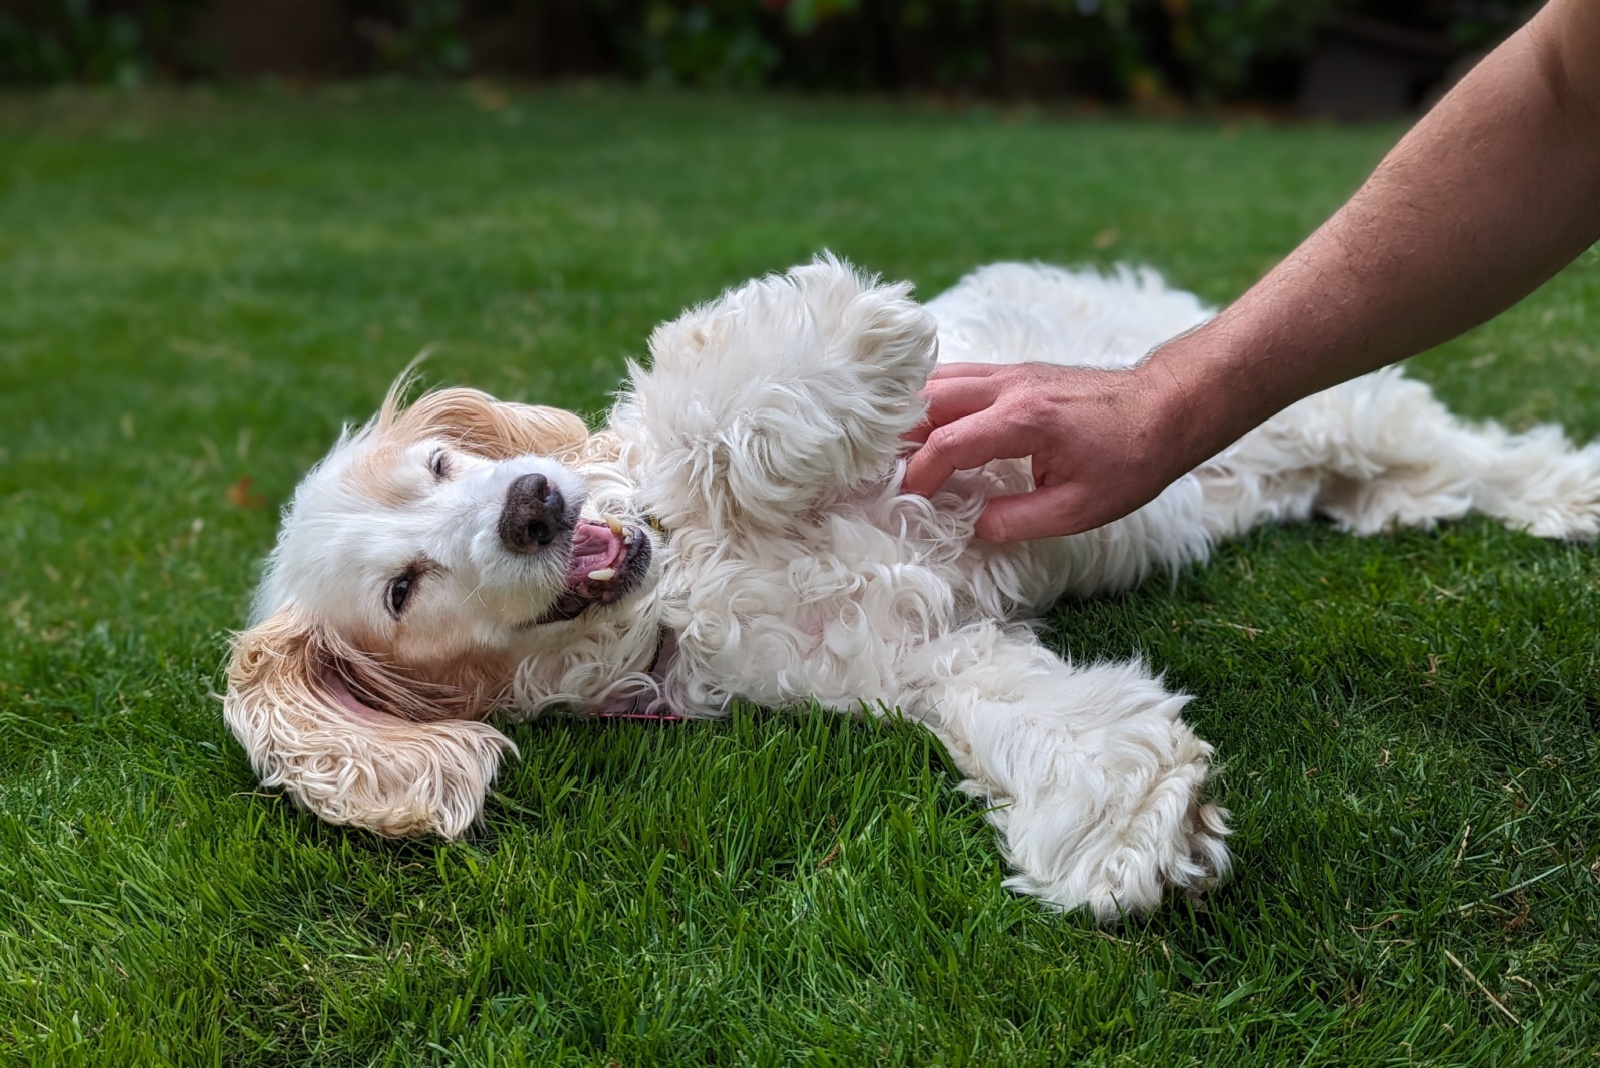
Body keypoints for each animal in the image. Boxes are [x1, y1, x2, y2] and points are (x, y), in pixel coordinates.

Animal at [222, 255, 1600, 920]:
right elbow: (1041, 720)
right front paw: (1129, 823)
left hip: (1318, 399)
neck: (681, 597)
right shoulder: (933, 657)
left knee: (1473, 450)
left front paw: (850, 339)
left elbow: (711, 408)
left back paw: (1570, 490)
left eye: (442, 464)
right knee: (1426, 471)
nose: (532, 507)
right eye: (403, 590)